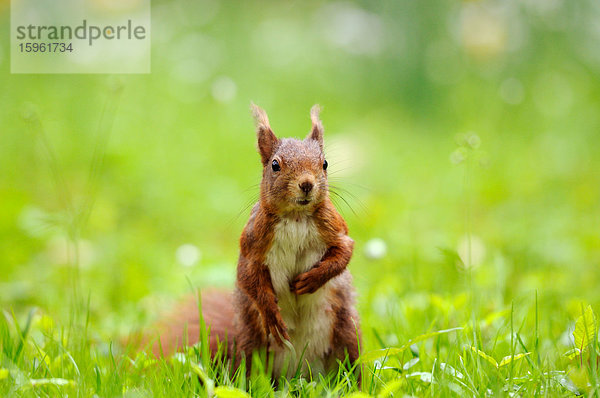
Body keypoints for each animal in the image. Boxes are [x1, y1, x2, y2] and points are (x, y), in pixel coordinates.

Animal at [150, 104, 360, 380]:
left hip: (347, 336)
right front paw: (271, 312)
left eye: (324, 163)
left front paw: (311, 280)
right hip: (251, 343)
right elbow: (248, 275)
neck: (295, 217)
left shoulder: (333, 226)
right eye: (275, 165)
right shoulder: (252, 241)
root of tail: (296, 373)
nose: (306, 184)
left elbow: (344, 251)